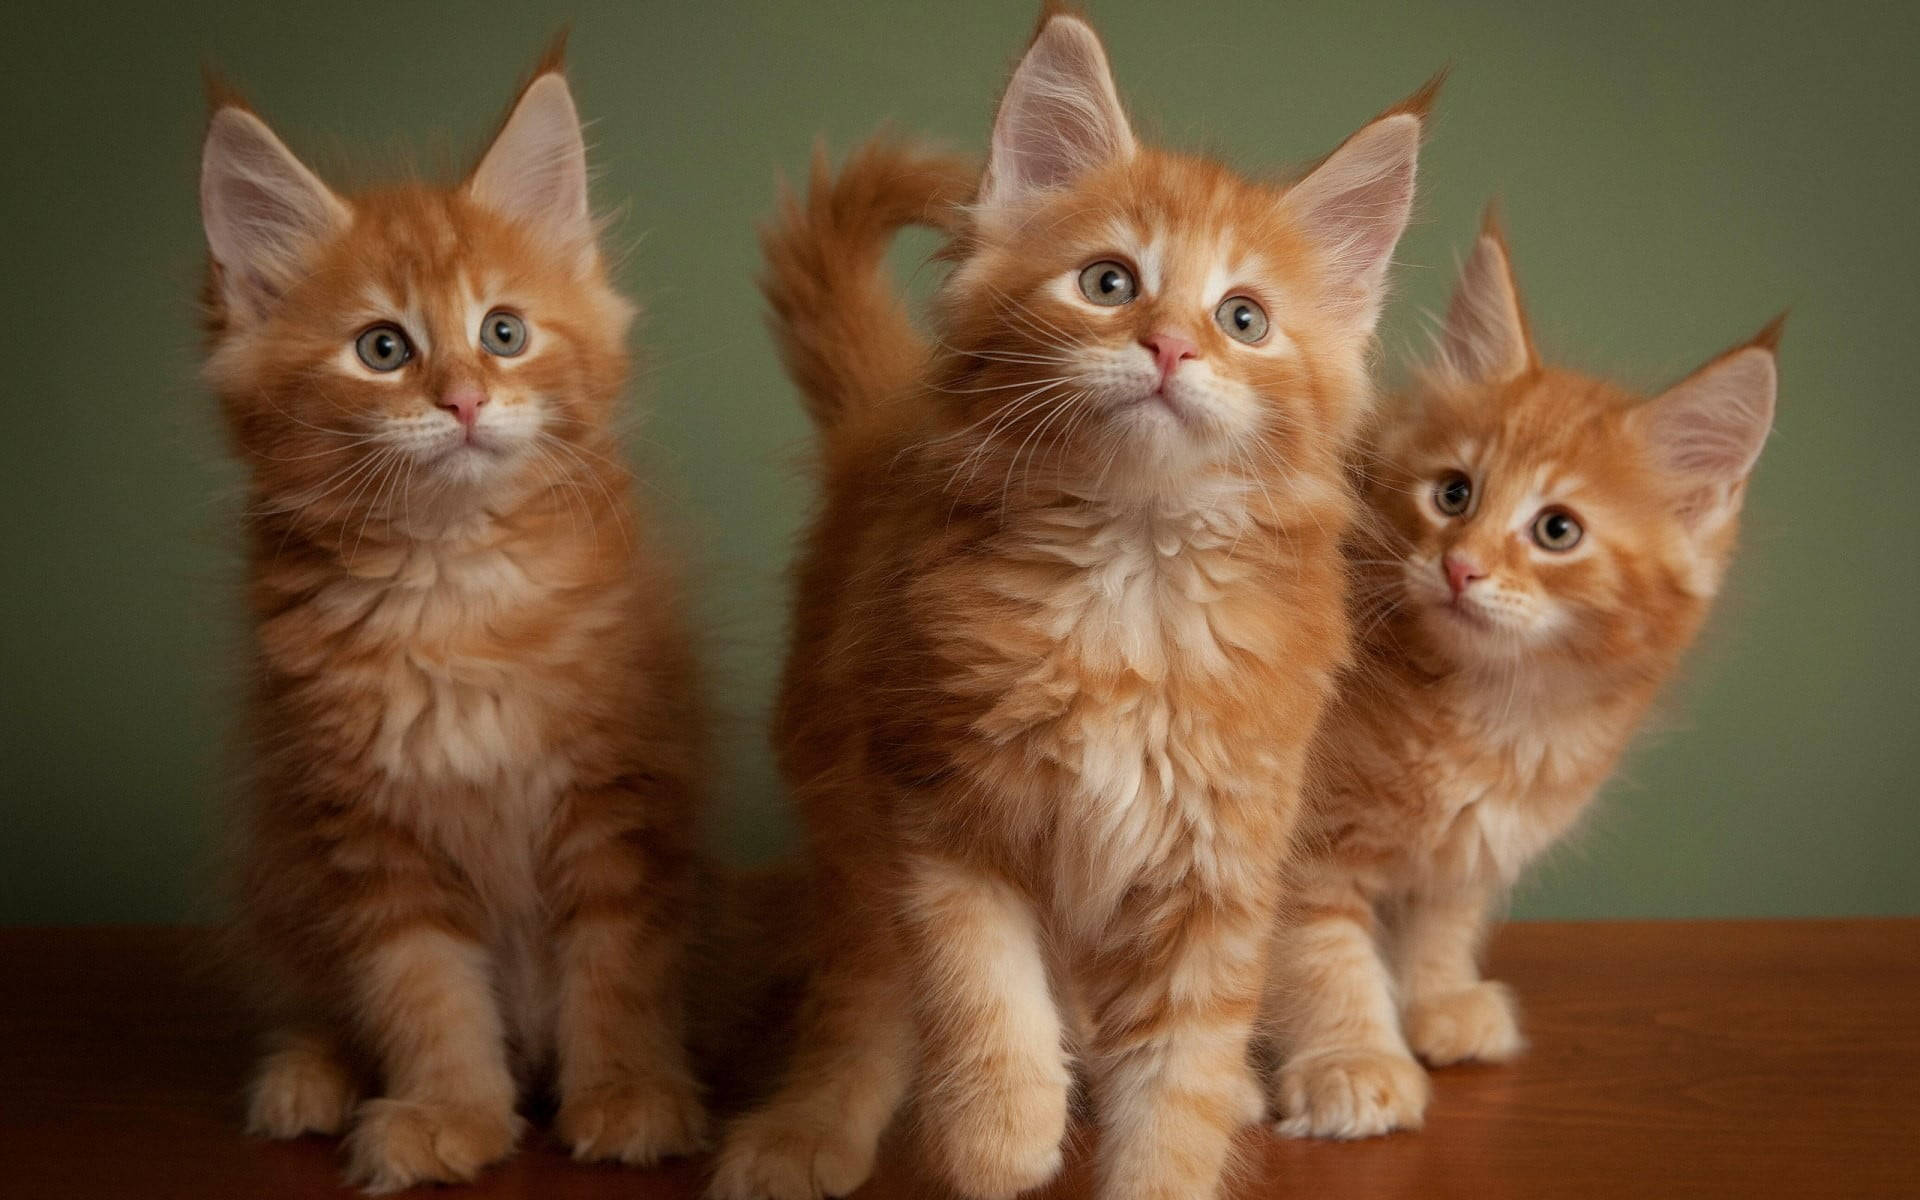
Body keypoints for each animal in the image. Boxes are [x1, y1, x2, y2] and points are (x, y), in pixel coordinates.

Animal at [198, 46, 710, 1190]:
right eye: (383, 349)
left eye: (503, 333)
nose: (466, 400)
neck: (454, 591)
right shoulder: (368, 834)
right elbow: (423, 992)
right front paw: (451, 1113)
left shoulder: (617, 808)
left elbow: (616, 969)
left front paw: (628, 1097)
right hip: (278, 878)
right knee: (308, 1000)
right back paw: (306, 1076)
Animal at [714, 9, 1436, 1198]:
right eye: (1108, 283)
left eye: (1245, 318)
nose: (1172, 345)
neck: (1133, 588)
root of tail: (881, 417)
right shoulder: (936, 809)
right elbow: (980, 989)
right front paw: (1000, 1128)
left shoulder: (1218, 867)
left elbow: (1178, 1080)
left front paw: (1165, 1151)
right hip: (841, 794)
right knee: (862, 990)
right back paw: (809, 1130)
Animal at [1259, 210, 1781, 1136]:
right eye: (1454, 494)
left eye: (1557, 530)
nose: (1460, 567)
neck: (1496, 712)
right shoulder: (1299, 837)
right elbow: (1322, 953)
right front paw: (1353, 1063)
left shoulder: (1470, 845)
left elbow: (1440, 921)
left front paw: (1437, 1003)